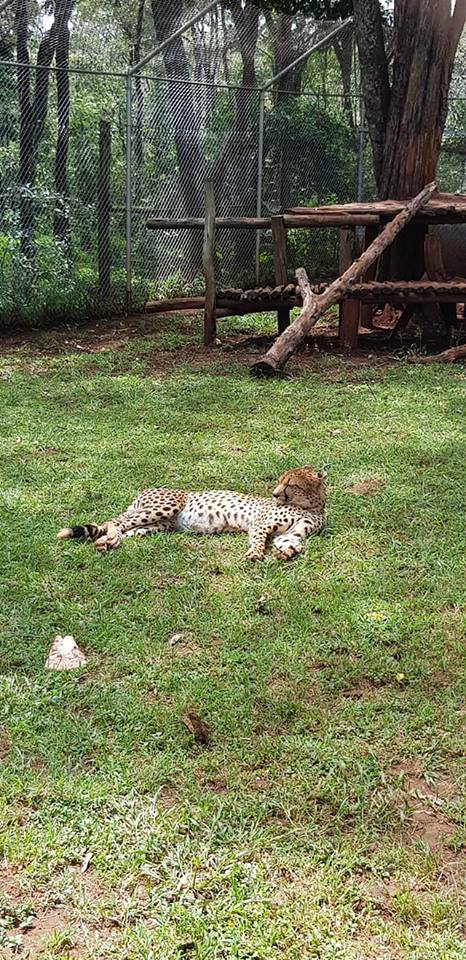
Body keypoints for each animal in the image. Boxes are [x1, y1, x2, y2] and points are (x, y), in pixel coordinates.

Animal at [57, 466, 327, 562]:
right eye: (280, 481)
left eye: (290, 484)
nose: (274, 493)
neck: (311, 507)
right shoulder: (260, 525)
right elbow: (259, 540)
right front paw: (256, 553)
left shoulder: (290, 533)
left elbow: (291, 541)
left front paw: (289, 552)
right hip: (164, 506)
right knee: (115, 520)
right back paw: (109, 537)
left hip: (160, 525)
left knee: (129, 528)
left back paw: (109, 541)